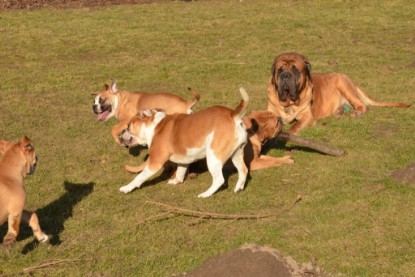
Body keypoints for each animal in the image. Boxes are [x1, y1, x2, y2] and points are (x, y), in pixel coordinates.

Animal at [268, 52, 412, 134]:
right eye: (280, 70)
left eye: (295, 70)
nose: (286, 75)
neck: (288, 103)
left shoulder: (307, 116)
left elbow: (296, 125)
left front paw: (290, 132)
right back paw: (339, 112)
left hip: (343, 85)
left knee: (363, 106)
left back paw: (356, 113)